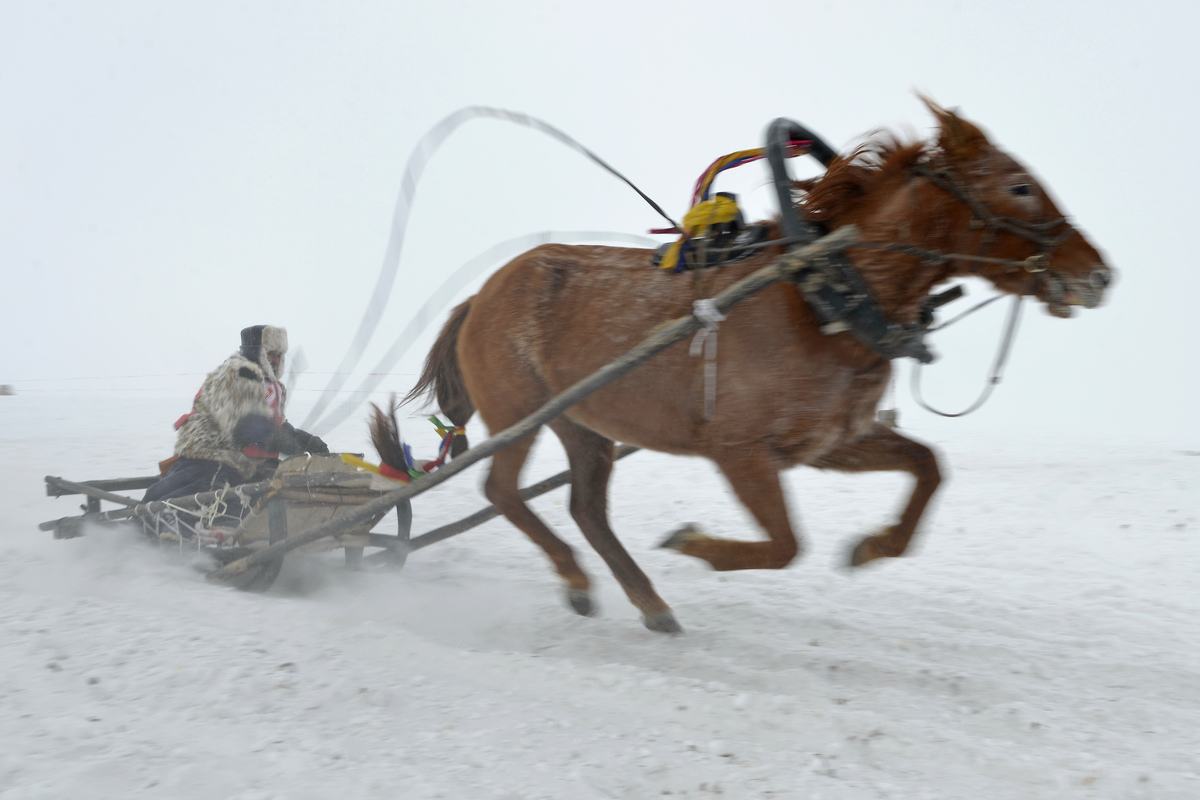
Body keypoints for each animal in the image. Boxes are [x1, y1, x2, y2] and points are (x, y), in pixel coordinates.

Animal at [385, 97, 1113, 634]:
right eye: (1020, 186)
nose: (1099, 275)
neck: (825, 295)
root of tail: (482, 294)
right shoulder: (740, 451)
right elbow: (787, 546)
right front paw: (696, 544)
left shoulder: (829, 441)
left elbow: (928, 466)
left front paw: (876, 546)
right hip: (522, 410)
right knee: (504, 491)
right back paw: (576, 577)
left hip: (584, 421)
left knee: (585, 505)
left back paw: (646, 600)